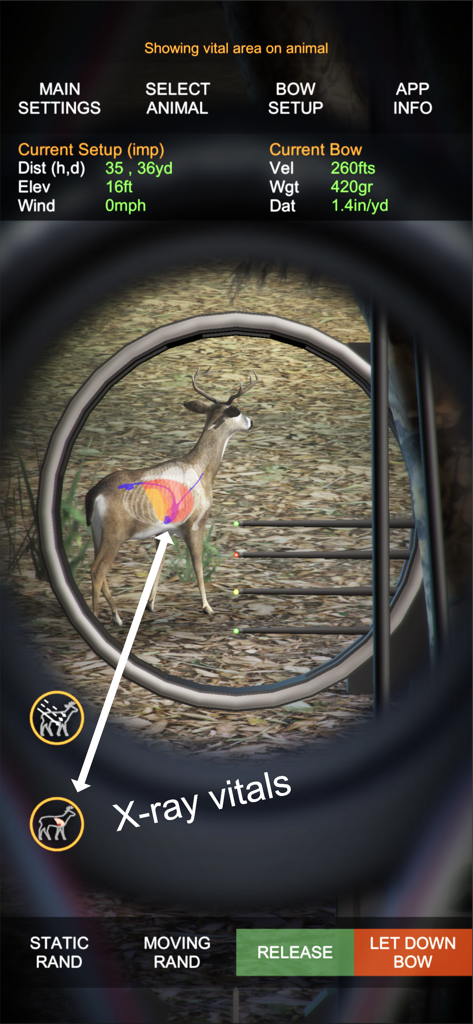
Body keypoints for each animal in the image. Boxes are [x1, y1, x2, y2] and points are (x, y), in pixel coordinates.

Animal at [85, 367, 259, 626]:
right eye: (237, 411)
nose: (251, 422)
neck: (201, 469)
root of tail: (95, 493)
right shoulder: (195, 522)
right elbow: (198, 563)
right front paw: (207, 607)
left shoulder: (164, 529)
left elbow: (158, 565)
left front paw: (150, 604)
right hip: (115, 532)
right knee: (97, 570)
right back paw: (99, 617)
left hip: (97, 531)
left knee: (98, 568)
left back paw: (116, 615)